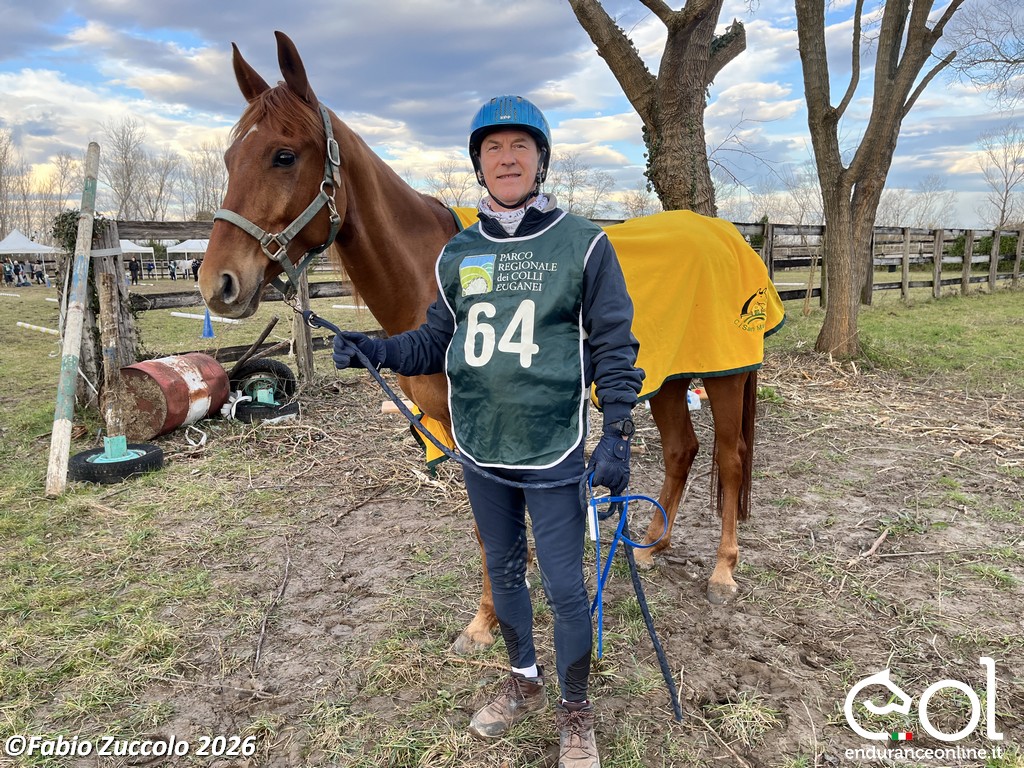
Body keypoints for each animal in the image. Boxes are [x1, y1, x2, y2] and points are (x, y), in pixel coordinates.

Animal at [199, 31, 784, 654]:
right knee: (681, 450)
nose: (217, 284)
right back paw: (651, 547)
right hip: (666, 379)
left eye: (284, 155)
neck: (429, 273)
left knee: (728, 459)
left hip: (726, 377)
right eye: (231, 160)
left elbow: (492, 530)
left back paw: (723, 571)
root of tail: (730, 237)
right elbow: (492, 528)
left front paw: (488, 624)